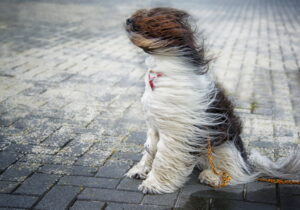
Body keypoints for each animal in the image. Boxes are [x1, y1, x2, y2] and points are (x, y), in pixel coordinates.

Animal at [124, 7, 300, 194]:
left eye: (148, 17)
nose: (128, 20)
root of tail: (246, 161)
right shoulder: (154, 125)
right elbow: (149, 149)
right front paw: (140, 170)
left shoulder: (176, 131)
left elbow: (162, 157)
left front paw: (153, 184)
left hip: (223, 147)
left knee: (236, 172)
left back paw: (213, 177)